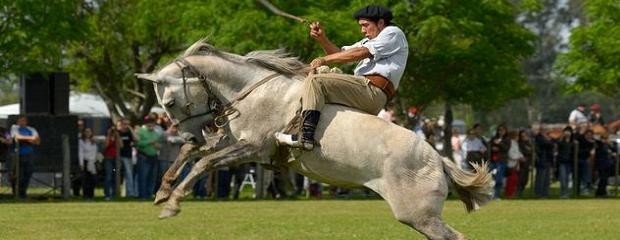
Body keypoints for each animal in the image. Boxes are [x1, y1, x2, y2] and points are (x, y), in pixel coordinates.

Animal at [137, 39, 494, 240]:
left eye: (170, 101)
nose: (190, 132)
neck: (254, 90)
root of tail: (438, 159)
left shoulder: (253, 147)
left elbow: (204, 162)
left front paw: (172, 203)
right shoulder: (236, 144)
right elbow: (191, 154)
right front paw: (162, 190)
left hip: (419, 216)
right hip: (421, 218)